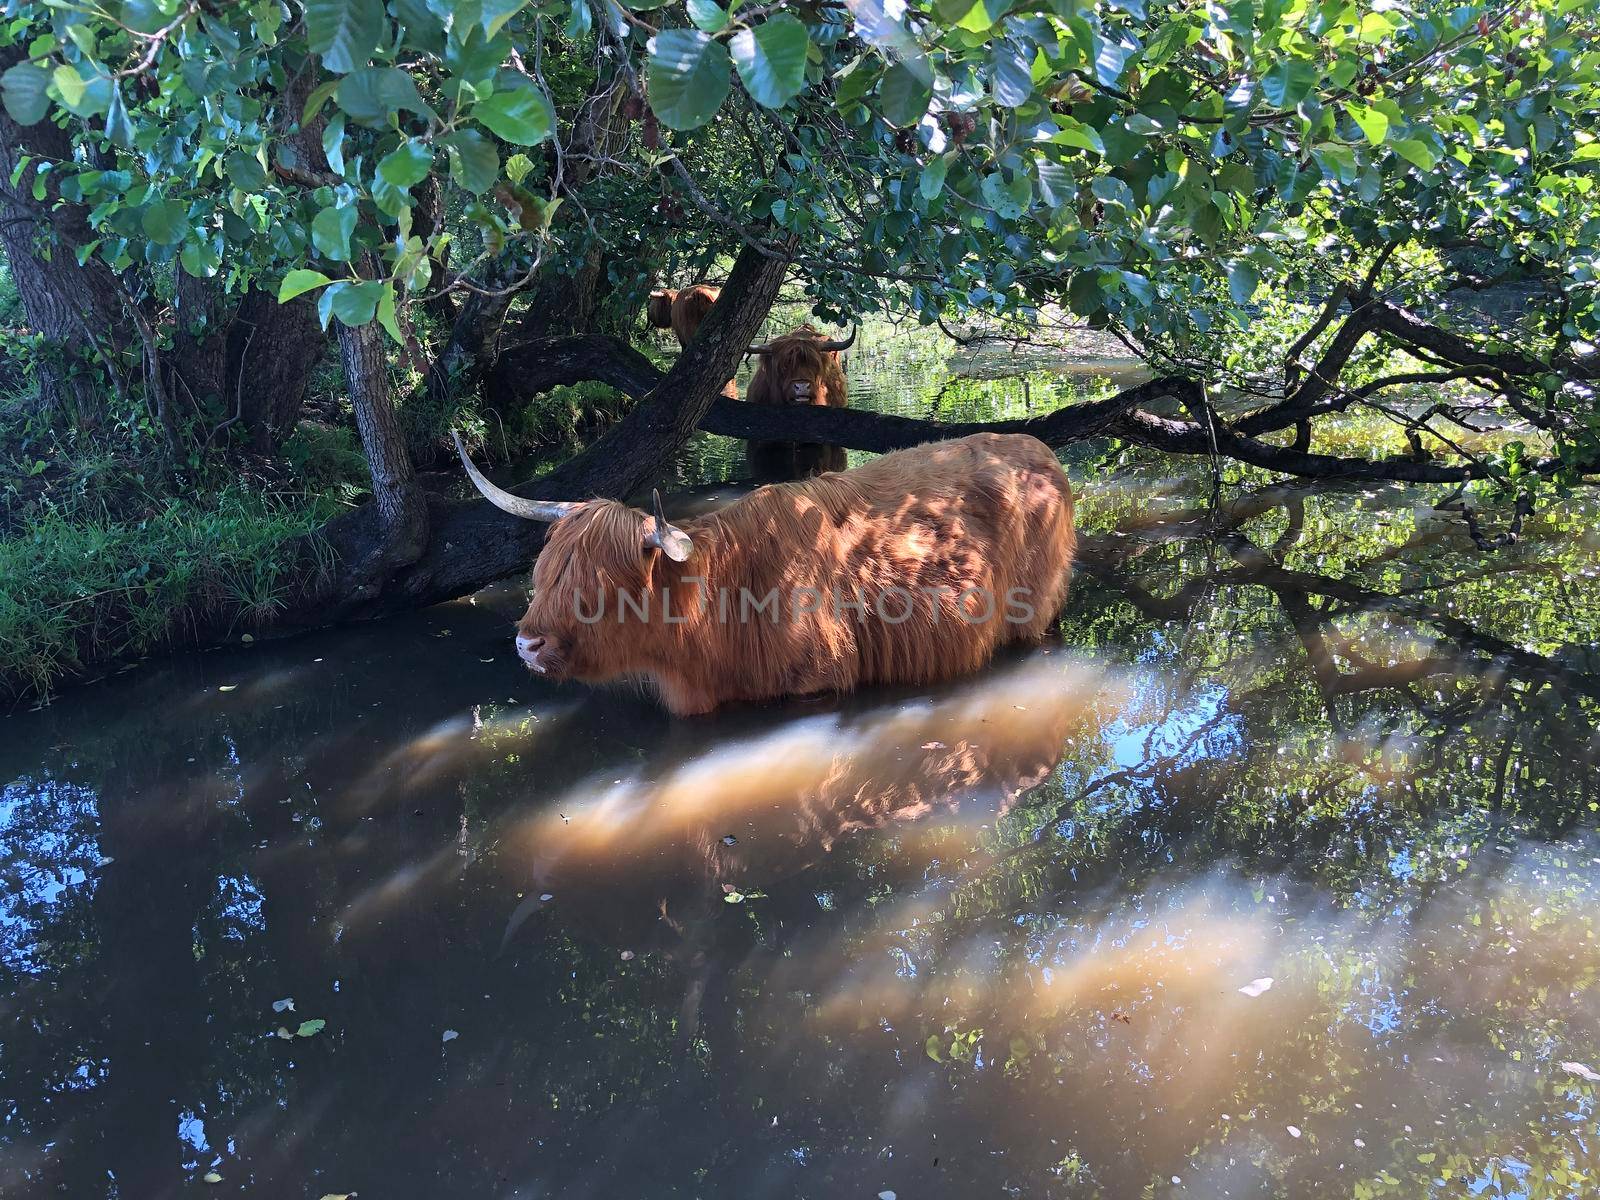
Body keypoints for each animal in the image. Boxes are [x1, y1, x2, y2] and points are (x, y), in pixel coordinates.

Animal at [451, 428, 1075, 713]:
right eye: (545, 573)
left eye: (598, 585)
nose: (527, 644)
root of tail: (1036, 446)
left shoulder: (816, 683)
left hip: (1034, 612)